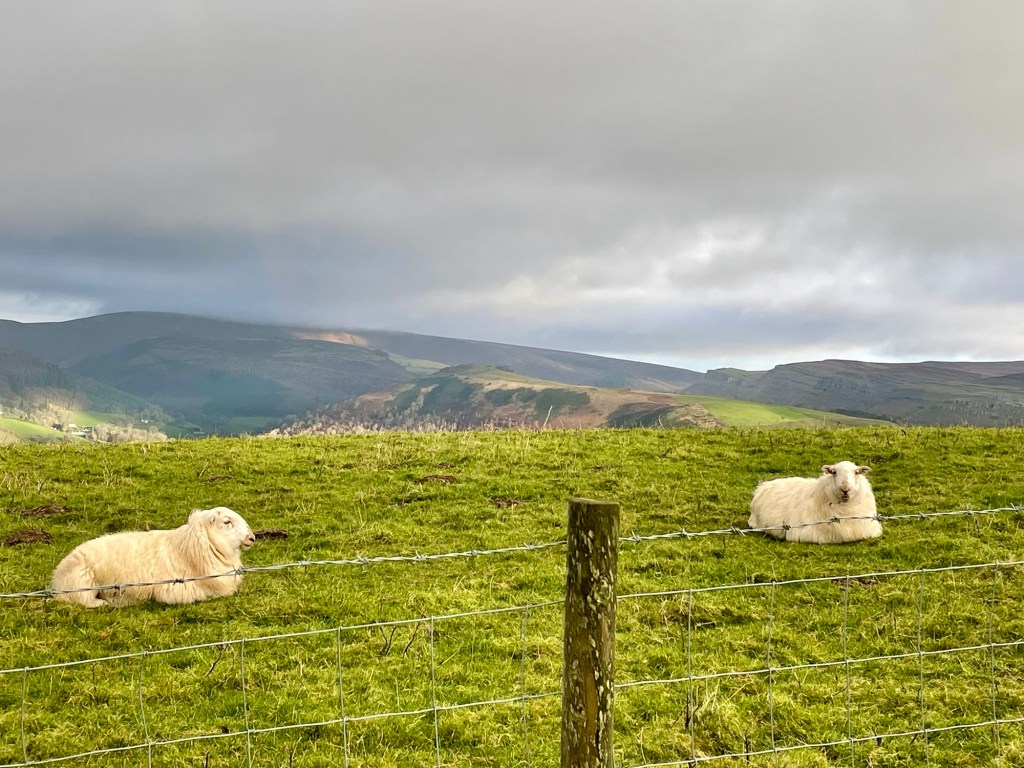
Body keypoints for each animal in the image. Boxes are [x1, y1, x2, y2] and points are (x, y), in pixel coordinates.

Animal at [51, 507, 255, 607]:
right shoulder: (176, 588)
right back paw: (105, 603)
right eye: (227, 521)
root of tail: (57, 577)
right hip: (82, 582)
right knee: (83, 601)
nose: (252, 537)